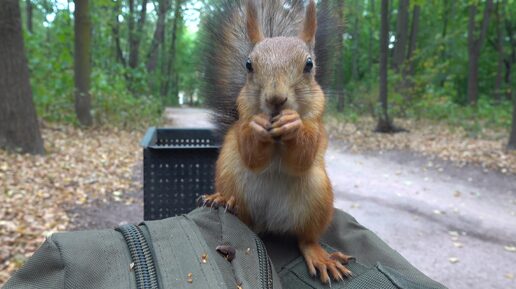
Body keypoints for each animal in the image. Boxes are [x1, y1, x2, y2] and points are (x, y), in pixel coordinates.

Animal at [201, 0, 350, 282]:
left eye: (309, 64)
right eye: (248, 64)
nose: (275, 99)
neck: (276, 139)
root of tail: (268, 224)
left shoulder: (317, 127)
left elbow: (303, 155)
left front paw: (293, 124)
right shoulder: (242, 127)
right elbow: (251, 154)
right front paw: (258, 128)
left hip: (318, 200)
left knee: (306, 239)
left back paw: (320, 257)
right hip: (230, 176)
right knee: (243, 214)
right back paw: (225, 201)